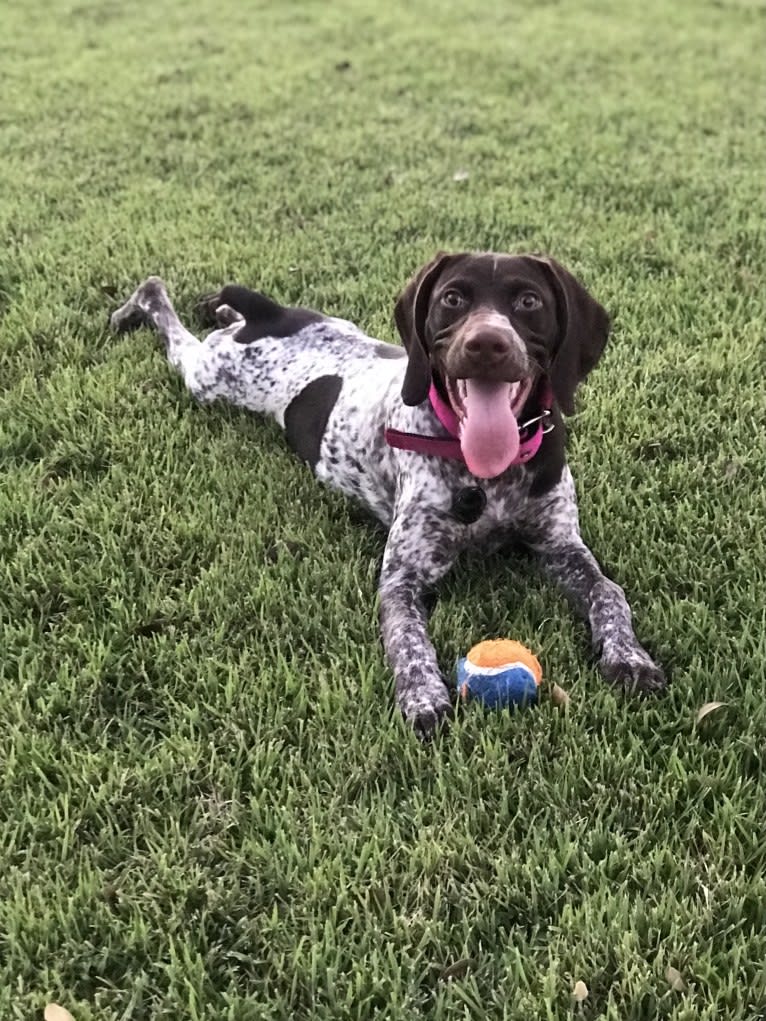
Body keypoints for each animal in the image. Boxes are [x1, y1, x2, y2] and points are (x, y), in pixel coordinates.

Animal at [110, 251, 669, 739]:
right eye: (452, 298)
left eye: (529, 301)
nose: (487, 345)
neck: (486, 477)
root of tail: (270, 316)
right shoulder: (402, 578)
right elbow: (408, 639)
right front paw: (423, 696)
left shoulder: (561, 547)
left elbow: (609, 593)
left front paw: (630, 656)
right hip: (206, 376)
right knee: (167, 314)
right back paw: (137, 306)